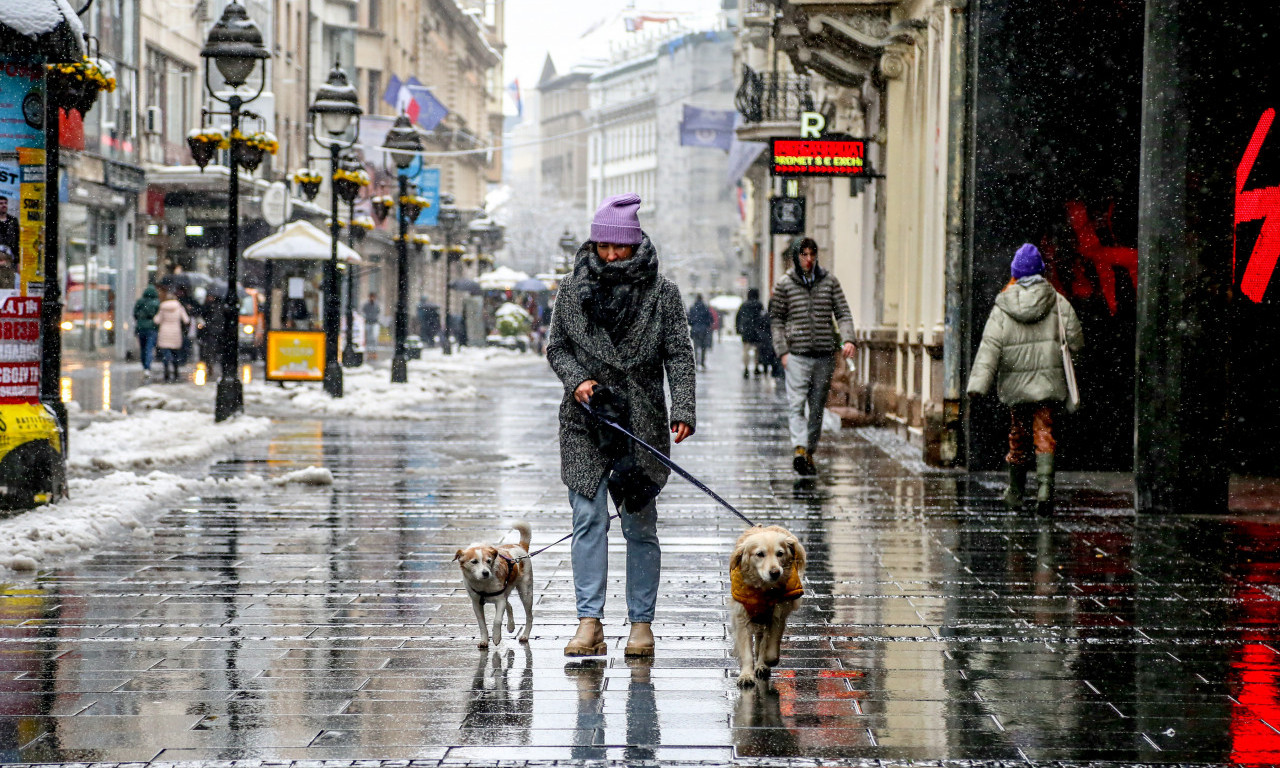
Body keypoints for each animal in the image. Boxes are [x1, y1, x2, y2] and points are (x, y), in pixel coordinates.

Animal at [732, 524, 798, 686]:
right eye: (760, 554)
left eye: (780, 553)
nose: (775, 572)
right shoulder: (742, 617)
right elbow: (747, 651)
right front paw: (746, 675)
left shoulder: (776, 616)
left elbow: (768, 647)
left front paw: (766, 661)